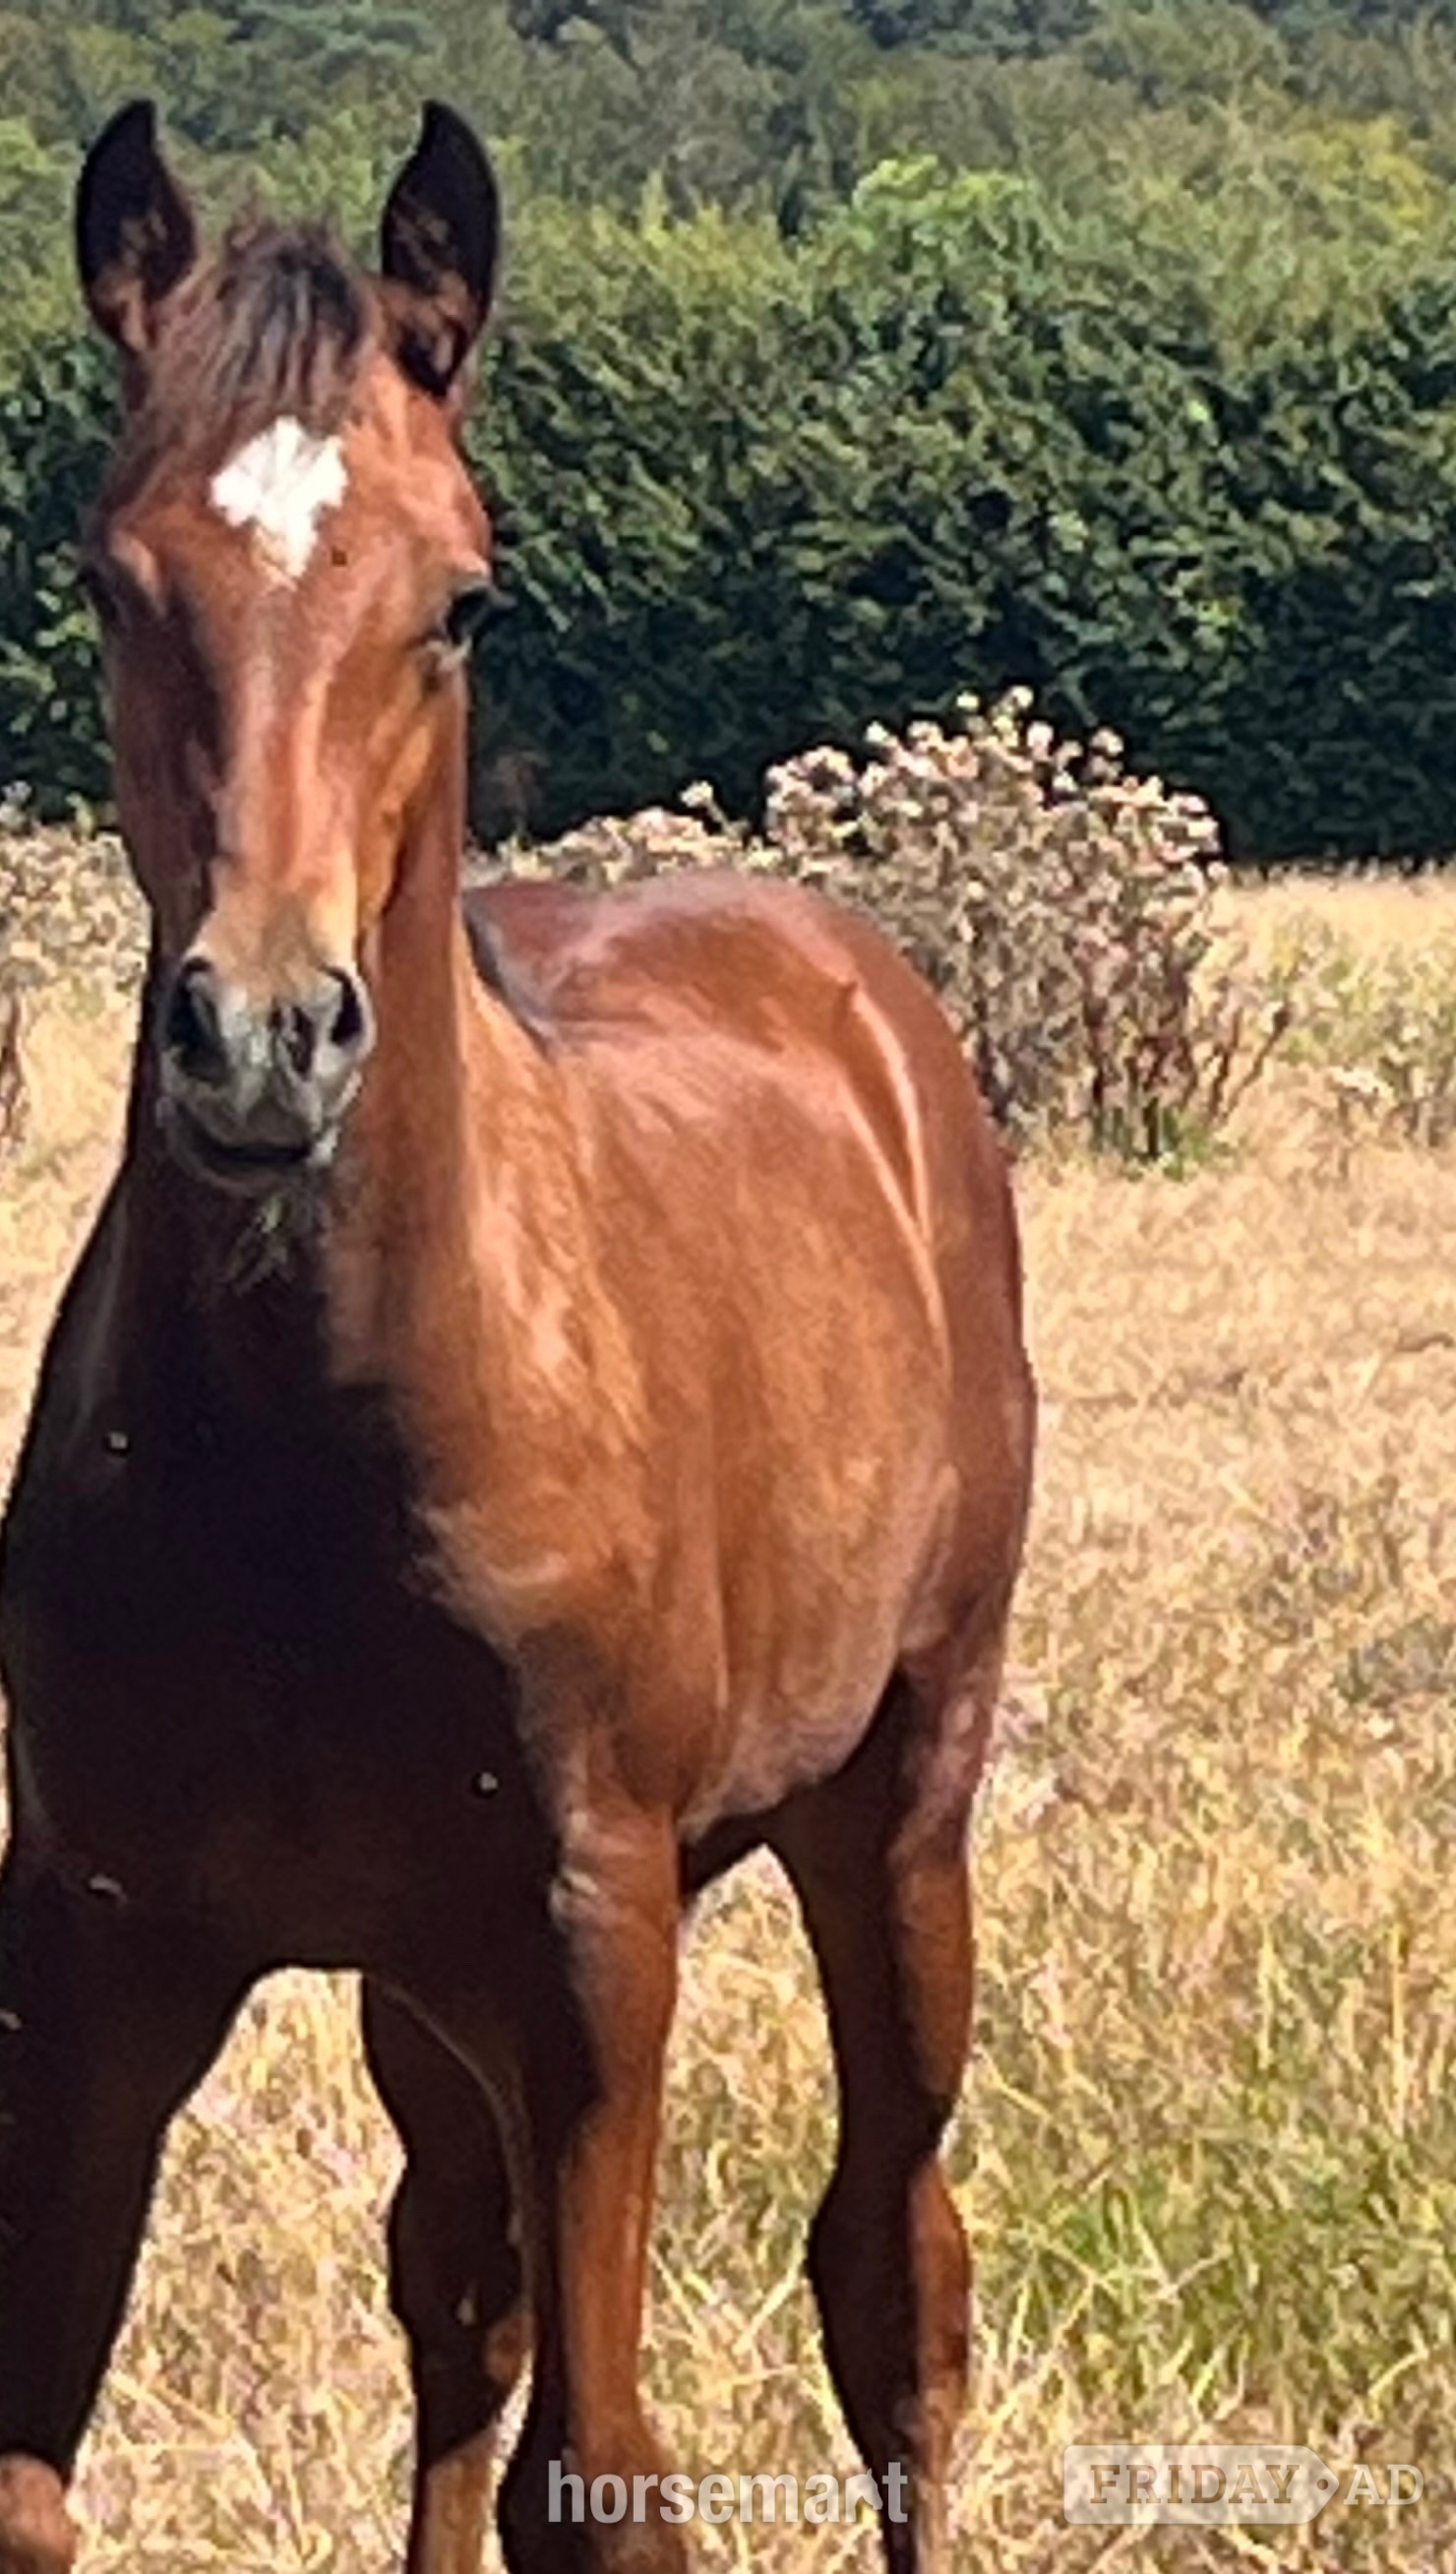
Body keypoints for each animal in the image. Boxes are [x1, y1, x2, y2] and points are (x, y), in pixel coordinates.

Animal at [0, 98, 1035, 2574]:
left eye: (460, 595)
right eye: (109, 578)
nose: (262, 1041)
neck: (319, 1439)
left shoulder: (588, 1950)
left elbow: (608, 2476)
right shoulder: (98, 1944)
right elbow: (33, 2474)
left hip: (893, 1815)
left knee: (895, 2288)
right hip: (418, 1981)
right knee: (452, 2300)